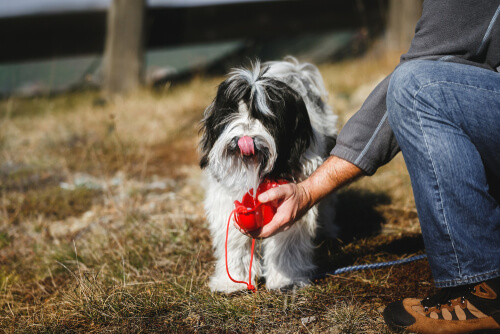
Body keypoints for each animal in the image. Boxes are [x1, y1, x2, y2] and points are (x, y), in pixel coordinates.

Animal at [199, 57, 336, 292]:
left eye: (266, 118)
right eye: (232, 111)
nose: (244, 139)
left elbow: (287, 242)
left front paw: (286, 279)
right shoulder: (228, 199)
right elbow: (234, 240)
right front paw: (232, 281)